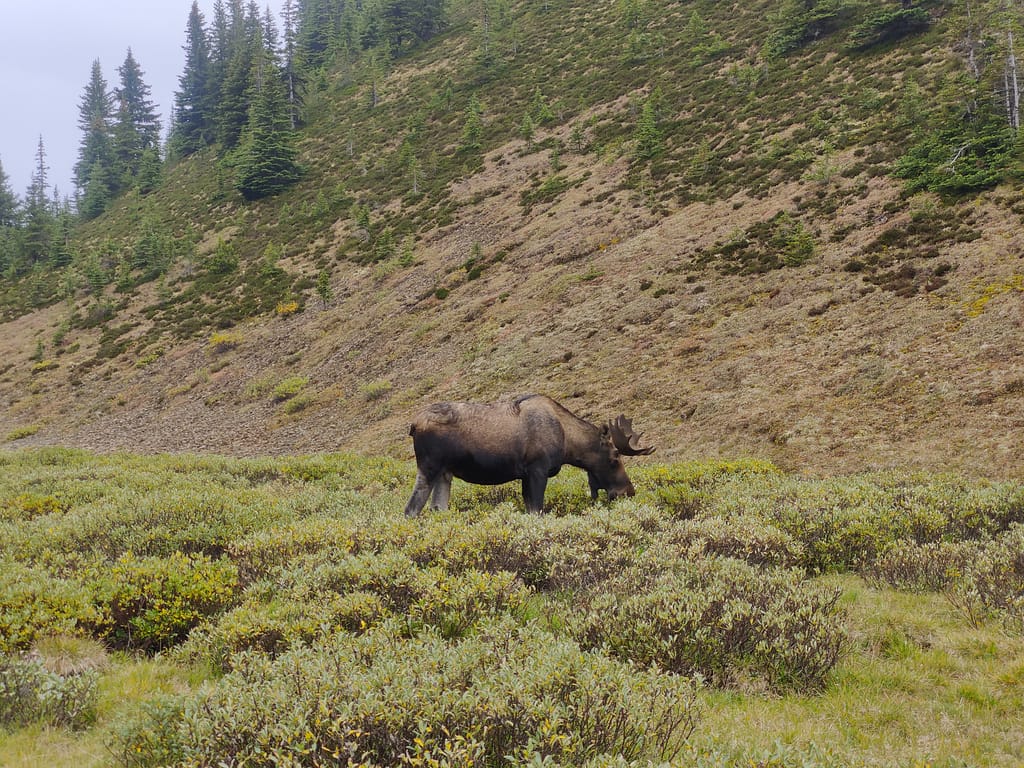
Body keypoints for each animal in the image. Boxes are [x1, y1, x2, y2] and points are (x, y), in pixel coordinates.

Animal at [401, 397, 655, 518]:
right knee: (411, 509)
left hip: (445, 473)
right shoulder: (537, 470)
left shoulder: (525, 476)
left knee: (437, 508)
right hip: (429, 467)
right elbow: (537, 510)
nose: (628, 491)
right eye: (614, 458)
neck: (568, 443)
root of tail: (413, 425)